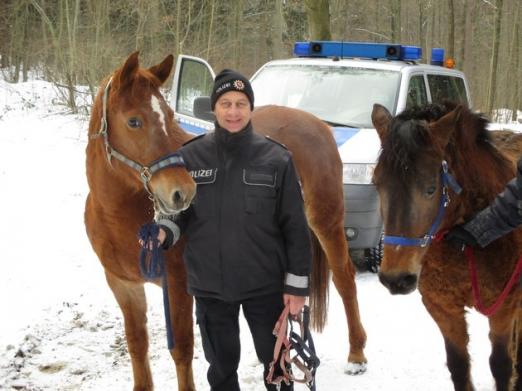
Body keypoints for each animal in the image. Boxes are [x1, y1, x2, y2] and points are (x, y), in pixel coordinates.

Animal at [370, 103, 520, 391]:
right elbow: (459, 367)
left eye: (430, 189)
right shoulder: (443, 309)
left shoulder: (504, 308)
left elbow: (501, 366)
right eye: (376, 184)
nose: (396, 279)